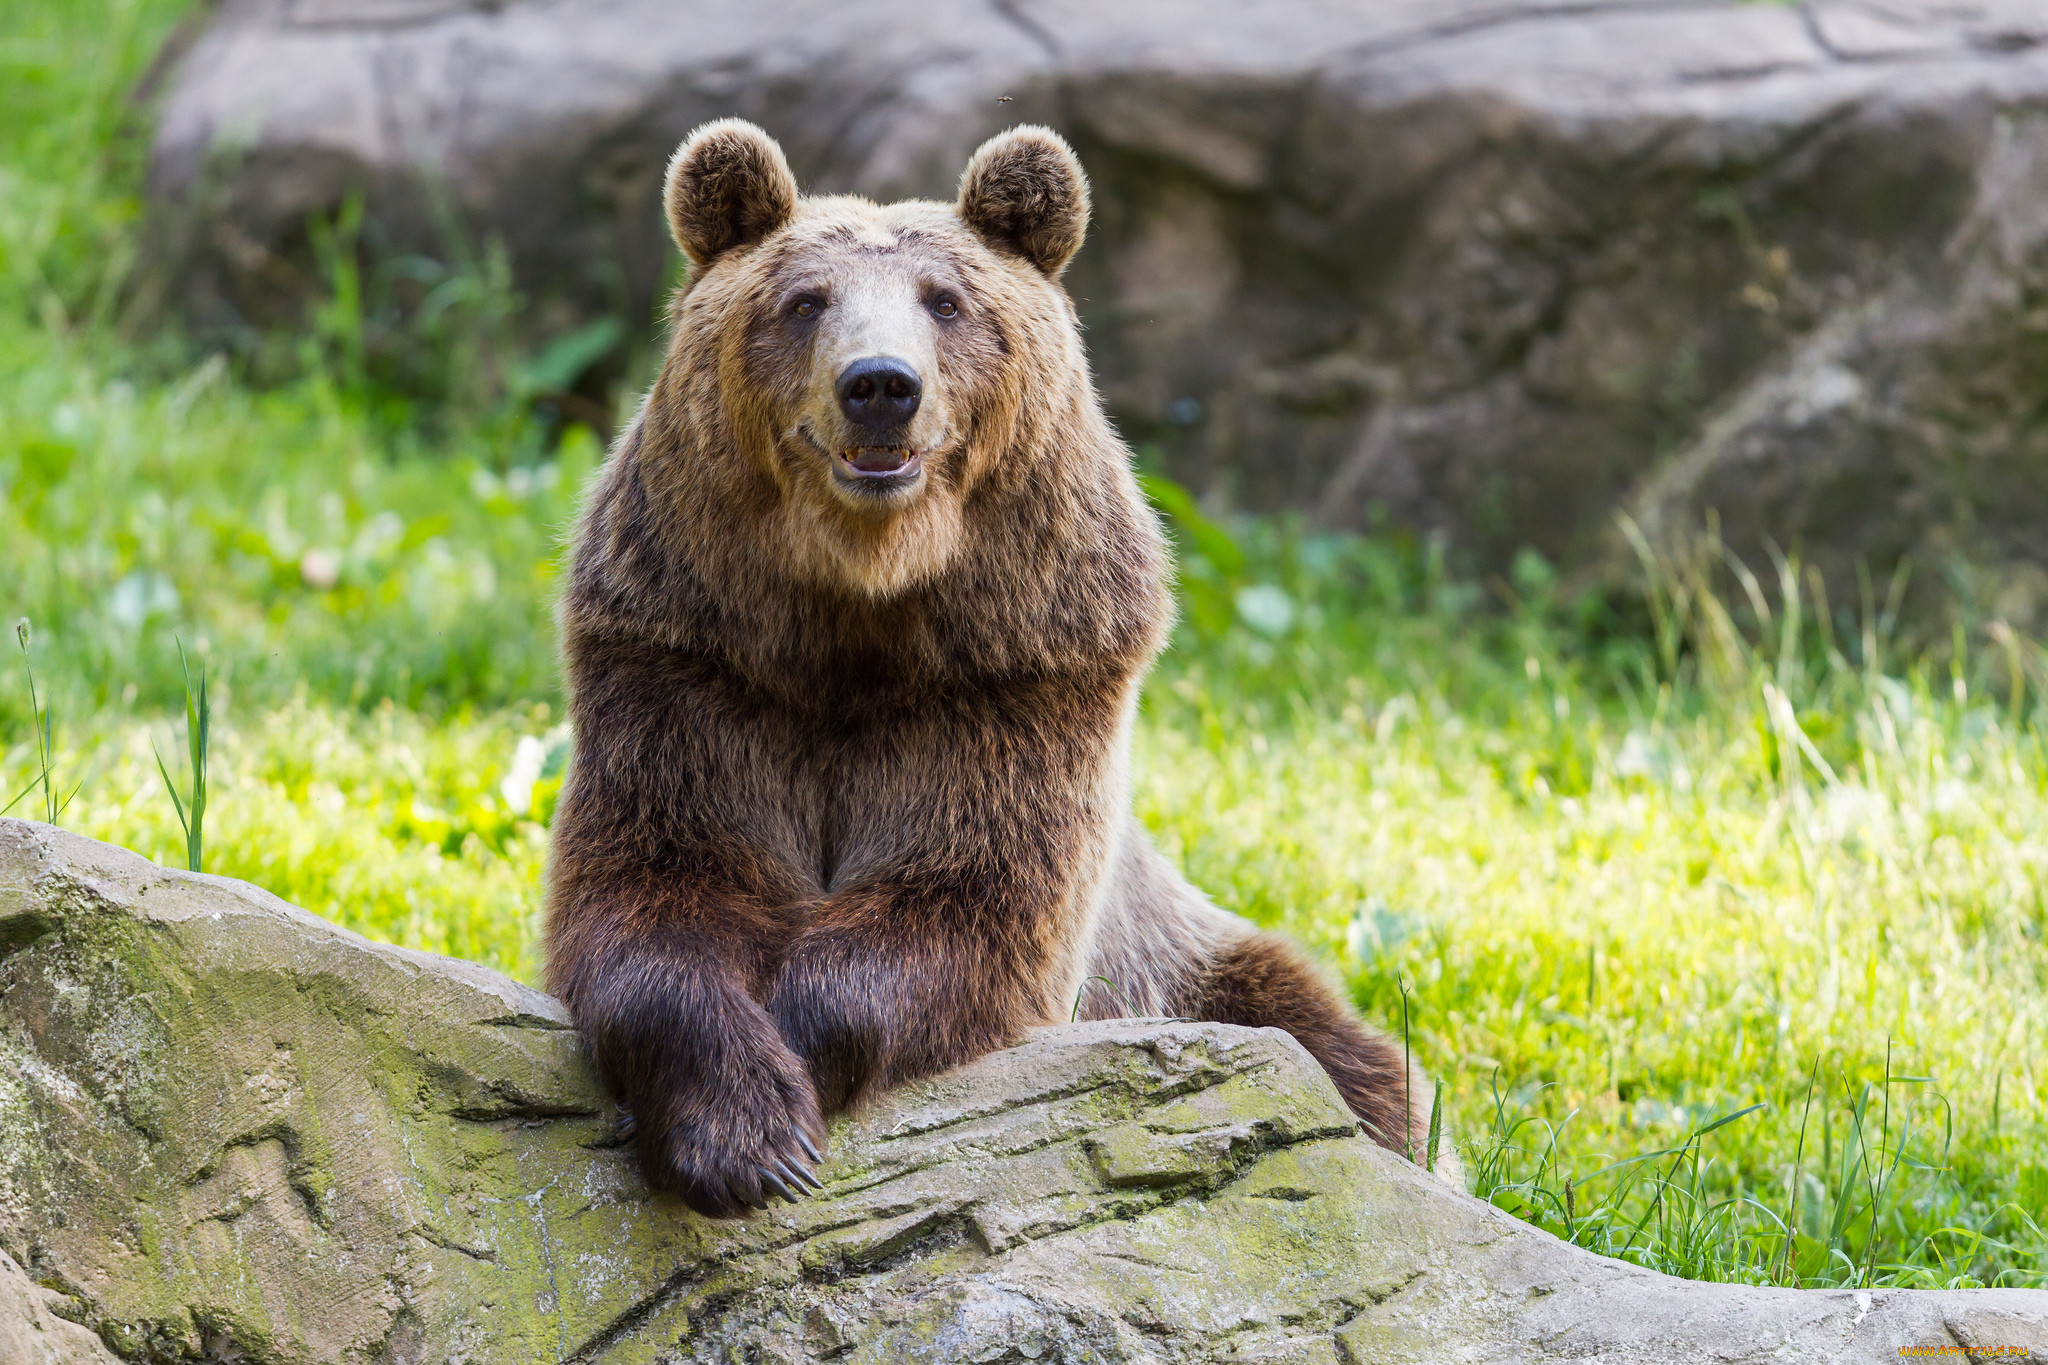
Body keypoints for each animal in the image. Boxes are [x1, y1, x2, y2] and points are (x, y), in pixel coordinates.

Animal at [544, 122, 1441, 1219]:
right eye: (804, 300)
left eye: (945, 299)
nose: (880, 385)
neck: (859, 610)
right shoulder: (691, 665)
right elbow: (657, 889)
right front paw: (740, 1132)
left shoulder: (1016, 683)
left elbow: (970, 897)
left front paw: (795, 1066)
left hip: (1194, 963)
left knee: (1352, 1059)